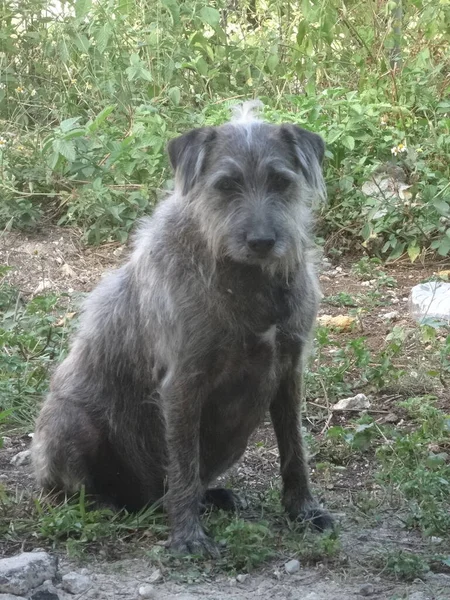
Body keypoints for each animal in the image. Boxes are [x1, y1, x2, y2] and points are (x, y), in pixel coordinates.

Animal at [32, 101, 334, 556]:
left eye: (282, 181)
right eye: (226, 185)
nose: (262, 242)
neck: (242, 276)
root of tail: (142, 500)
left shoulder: (289, 371)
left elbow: (294, 449)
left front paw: (302, 510)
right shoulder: (183, 383)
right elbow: (183, 463)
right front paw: (188, 535)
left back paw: (211, 497)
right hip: (69, 422)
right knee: (78, 490)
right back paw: (107, 506)